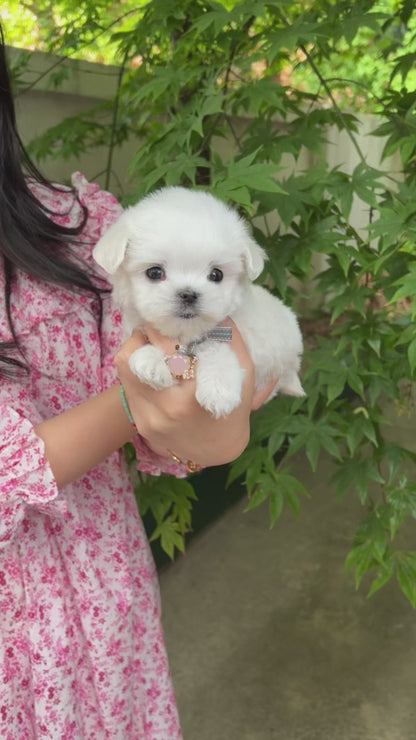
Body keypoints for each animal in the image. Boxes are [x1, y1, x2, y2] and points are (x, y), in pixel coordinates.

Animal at [92, 186, 304, 416]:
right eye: (154, 272)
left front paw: (219, 388)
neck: (186, 333)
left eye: (217, 274)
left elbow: (215, 347)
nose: (188, 294)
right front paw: (152, 361)